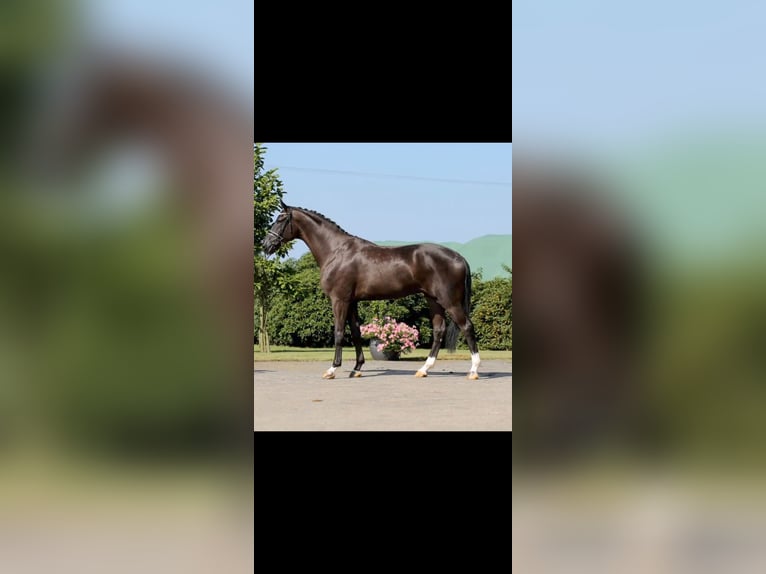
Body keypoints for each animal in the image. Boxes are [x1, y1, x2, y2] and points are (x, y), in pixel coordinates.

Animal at [262, 201, 481, 380]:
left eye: (281, 219)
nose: (266, 244)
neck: (336, 251)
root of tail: (459, 257)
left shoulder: (339, 300)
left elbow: (339, 332)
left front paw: (332, 369)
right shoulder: (352, 301)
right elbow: (356, 332)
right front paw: (357, 368)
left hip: (450, 301)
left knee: (467, 327)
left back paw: (473, 371)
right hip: (433, 300)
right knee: (439, 330)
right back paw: (424, 370)